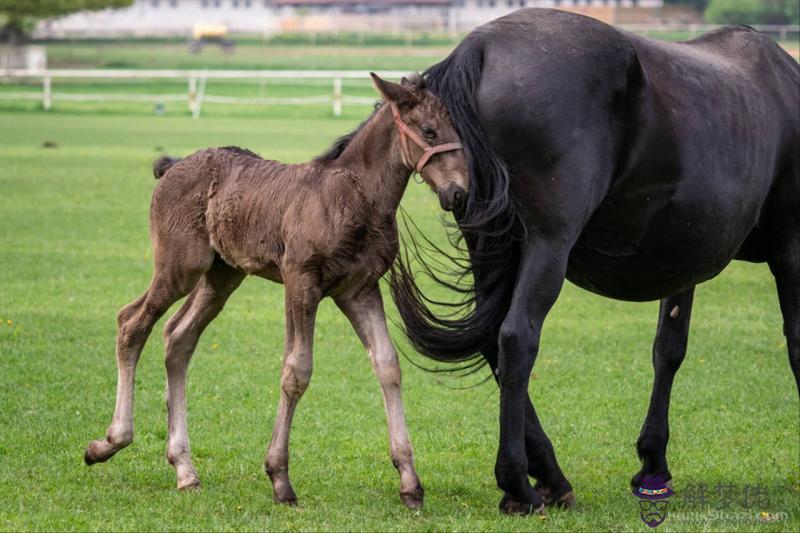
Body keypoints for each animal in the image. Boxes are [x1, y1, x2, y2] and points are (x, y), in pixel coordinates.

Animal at [83, 74, 466, 508]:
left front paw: (409, 480)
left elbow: (387, 365)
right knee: (132, 322)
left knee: (178, 337)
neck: (355, 197)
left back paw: (184, 467)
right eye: (429, 130)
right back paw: (109, 442)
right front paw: (279, 478)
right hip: (179, 267)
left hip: (222, 276)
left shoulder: (360, 289)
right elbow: (296, 370)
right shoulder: (300, 281)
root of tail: (171, 166)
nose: (459, 192)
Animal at [390, 8, 796, 512]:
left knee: (493, 342)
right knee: (516, 339)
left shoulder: (683, 261)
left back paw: (551, 475)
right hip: (547, 246)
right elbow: (797, 343)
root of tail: (482, 45)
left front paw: (653, 460)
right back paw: (519, 483)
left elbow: (668, 349)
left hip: (489, 243)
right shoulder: (792, 248)